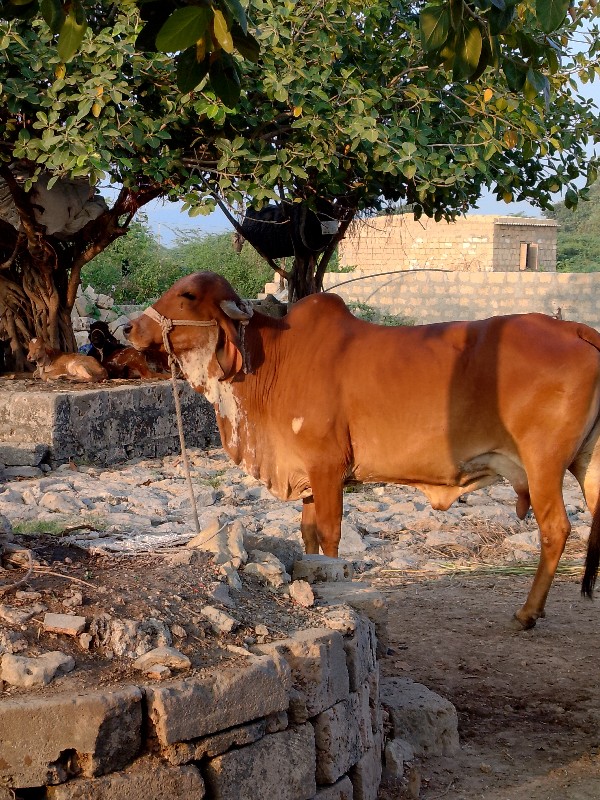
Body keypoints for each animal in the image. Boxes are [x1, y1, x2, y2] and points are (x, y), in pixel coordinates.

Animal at [126, 274, 600, 632]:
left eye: (188, 295)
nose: (129, 328)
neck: (271, 360)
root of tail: (578, 329)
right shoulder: (308, 477)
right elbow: (308, 535)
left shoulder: (327, 468)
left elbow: (330, 534)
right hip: (587, 464)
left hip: (543, 464)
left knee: (556, 529)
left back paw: (527, 613)